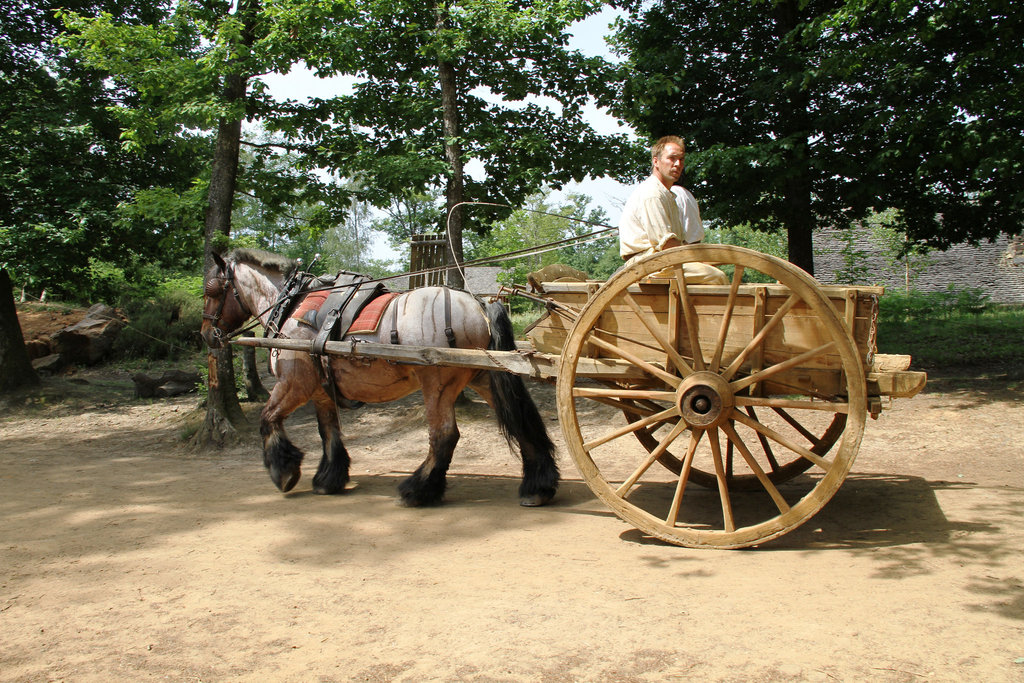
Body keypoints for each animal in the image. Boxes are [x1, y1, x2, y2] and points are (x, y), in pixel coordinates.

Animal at [199, 249, 561, 507]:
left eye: (211, 290)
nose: (206, 334)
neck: (293, 306)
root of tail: (479, 304)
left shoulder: (294, 384)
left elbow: (268, 418)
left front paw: (283, 470)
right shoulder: (320, 391)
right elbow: (328, 432)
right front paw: (328, 478)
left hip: (438, 382)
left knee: (444, 435)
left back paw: (418, 490)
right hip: (484, 375)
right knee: (521, 421)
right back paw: (538, 487)